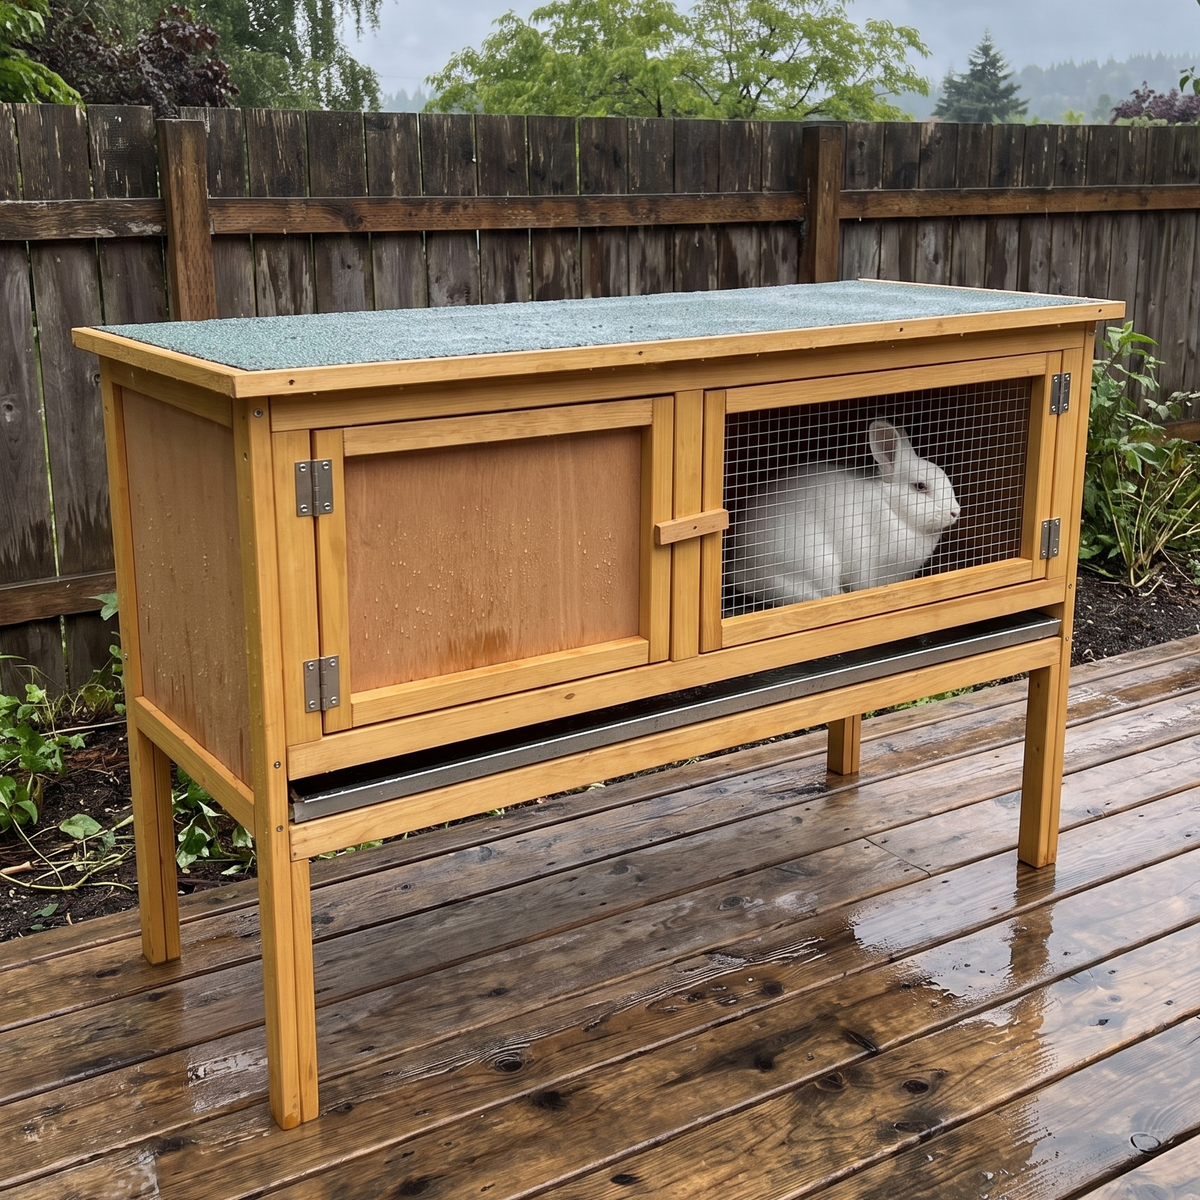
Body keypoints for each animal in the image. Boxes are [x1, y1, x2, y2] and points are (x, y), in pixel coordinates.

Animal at [724, 417, 961, 608]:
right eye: (920, 486)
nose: (955, 512)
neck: (892, 509)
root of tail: (740, 564)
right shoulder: (869, 565)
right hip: (818, 564)